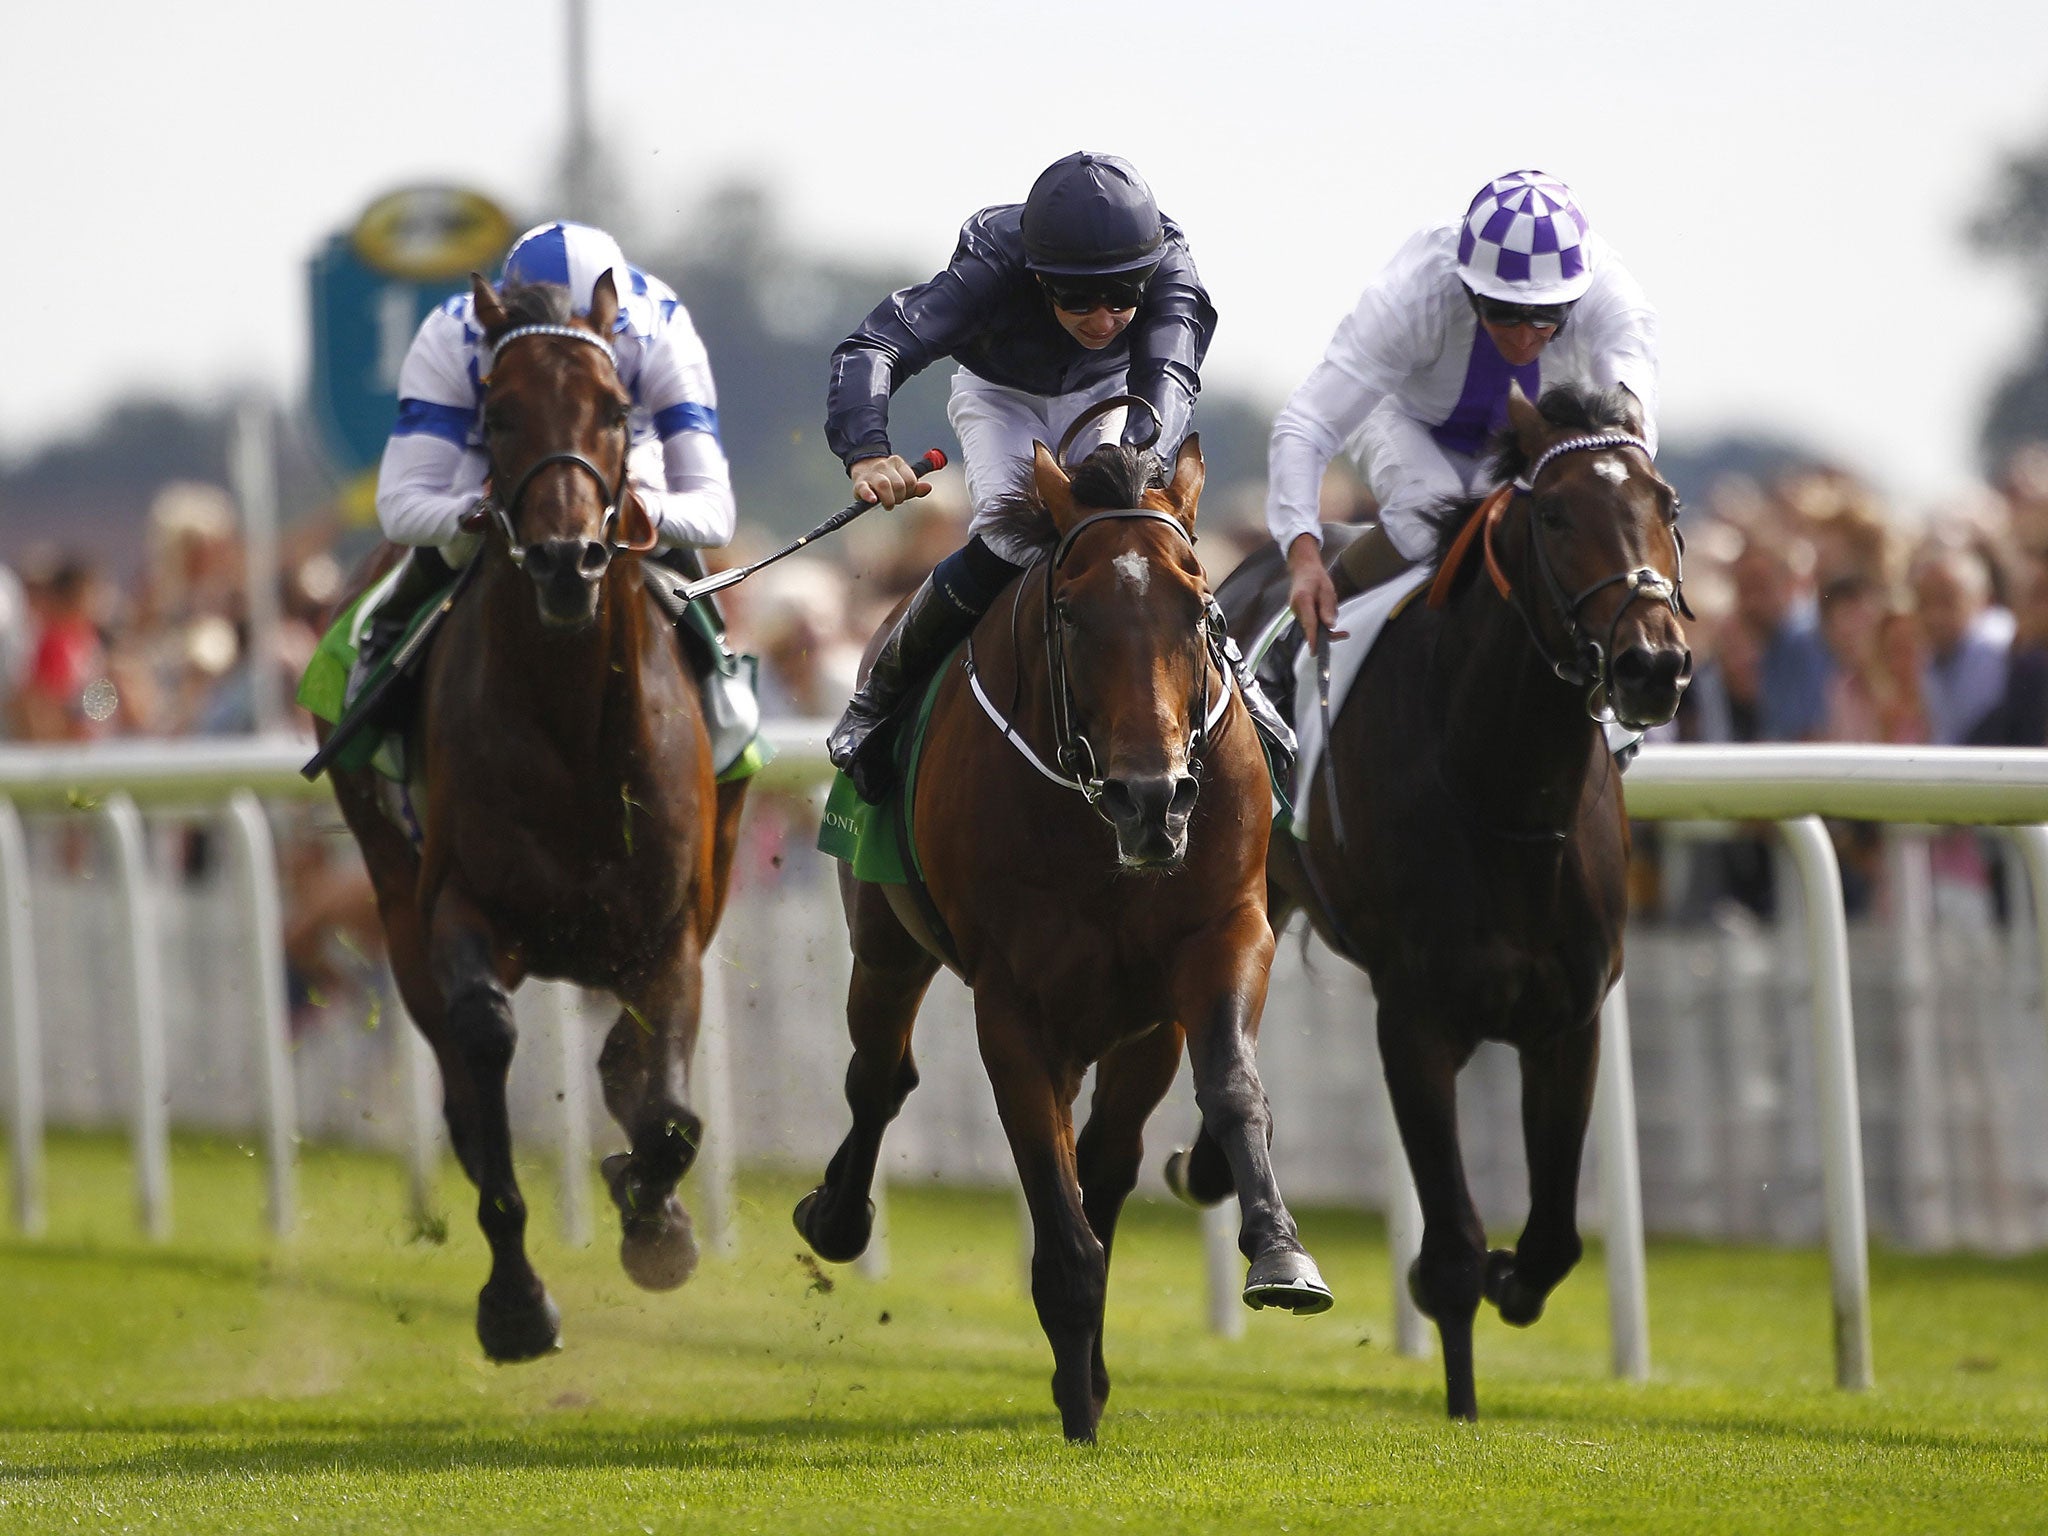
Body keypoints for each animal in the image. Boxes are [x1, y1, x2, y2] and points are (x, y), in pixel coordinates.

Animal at [313, 274, 745, 1359]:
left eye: (619, 411)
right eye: (498, 415)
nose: (564, 559)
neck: (570, 726)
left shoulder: (669, 928)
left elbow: (667, 1113)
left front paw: (655, 1222)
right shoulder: (459, 907)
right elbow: (483, 1049)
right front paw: (514, 1298)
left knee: (627, 1066)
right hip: (392, 895)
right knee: (463, 1082)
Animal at [790, 438, 1335, 1449]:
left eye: (1200, 605)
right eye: (1072, 611)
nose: (1152, 797)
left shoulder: (1219, 939)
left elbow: (1230, 1092)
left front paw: (1280, 1255)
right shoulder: (1012, 1002)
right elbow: (1050, 1184)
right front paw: (1079, 1406)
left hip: (1135, 1026)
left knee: (1108, 1158)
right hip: (885, 939)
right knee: (878, 1075)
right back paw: (836, 1217)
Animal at [1196, 385, 1687, 1417]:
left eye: (1666, 505)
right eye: (1555, 514)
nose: (1652, 666)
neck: (1506, 793)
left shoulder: (1568, 1020)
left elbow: (1552, 1240)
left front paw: (1510, 1280)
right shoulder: (1415, 1019)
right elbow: (1455, 1248)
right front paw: (1459, 1389)